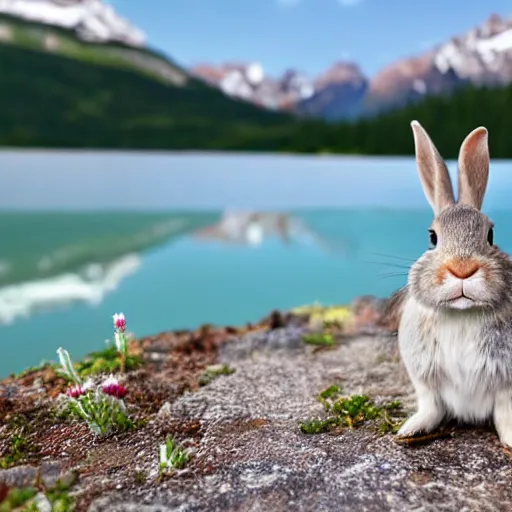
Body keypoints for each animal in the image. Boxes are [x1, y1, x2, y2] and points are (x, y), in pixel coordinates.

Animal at [396, 120, 512, 448]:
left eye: (490, 234)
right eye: (432, 236)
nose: (462, 269)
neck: (461, 314)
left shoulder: (506, 384)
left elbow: (504, 414)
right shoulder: (425, 380)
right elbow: (431, 407)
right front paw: (410, 429)